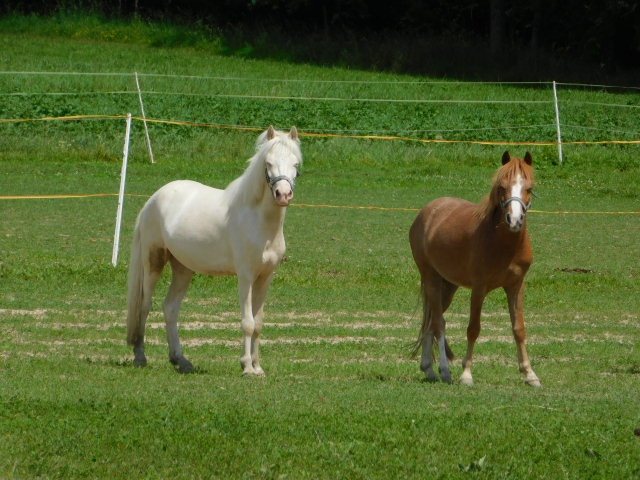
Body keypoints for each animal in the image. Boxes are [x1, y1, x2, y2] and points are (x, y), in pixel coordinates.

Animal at [126, 126, 302, 375]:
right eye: (268, 163)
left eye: (295, 164)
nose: (283, 194)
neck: (258, 221)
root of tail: (153, 198)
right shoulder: (246, 276)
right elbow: (247, 323)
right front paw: (247, 367)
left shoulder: (265, 277)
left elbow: (258, 323)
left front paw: (258, 367)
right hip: (153, 262)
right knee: (144, 305)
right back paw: (140, 357)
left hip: (183, 268)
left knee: (170, 308)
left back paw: (181, 360)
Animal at [409, 151, 541, 387]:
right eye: (502, 187)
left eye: (529, 188)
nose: (514, 220)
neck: (503, 244)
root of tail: (426, 212)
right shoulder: (479, 288)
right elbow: (473, 329)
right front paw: (466, 374)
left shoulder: (516, 286)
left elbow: (519, 329)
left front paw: (530, 374)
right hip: (431, 278)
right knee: (438, 323)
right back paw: (444, 371)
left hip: (448, 285)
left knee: (432, 320)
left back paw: (429, 369)